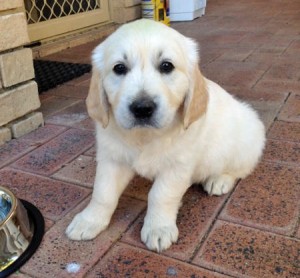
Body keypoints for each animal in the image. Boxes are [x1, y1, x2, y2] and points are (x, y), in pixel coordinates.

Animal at [66, 18, 264, 251]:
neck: (145, 137)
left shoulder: (177, 166)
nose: (142, 108)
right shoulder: (112, 158)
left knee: (240, 169)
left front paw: (158, 228)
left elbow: (161, 195)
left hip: (247, 140)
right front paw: (89, 220)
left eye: (166, 66)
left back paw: (219, 180)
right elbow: (103, 192)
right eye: (119, 68)